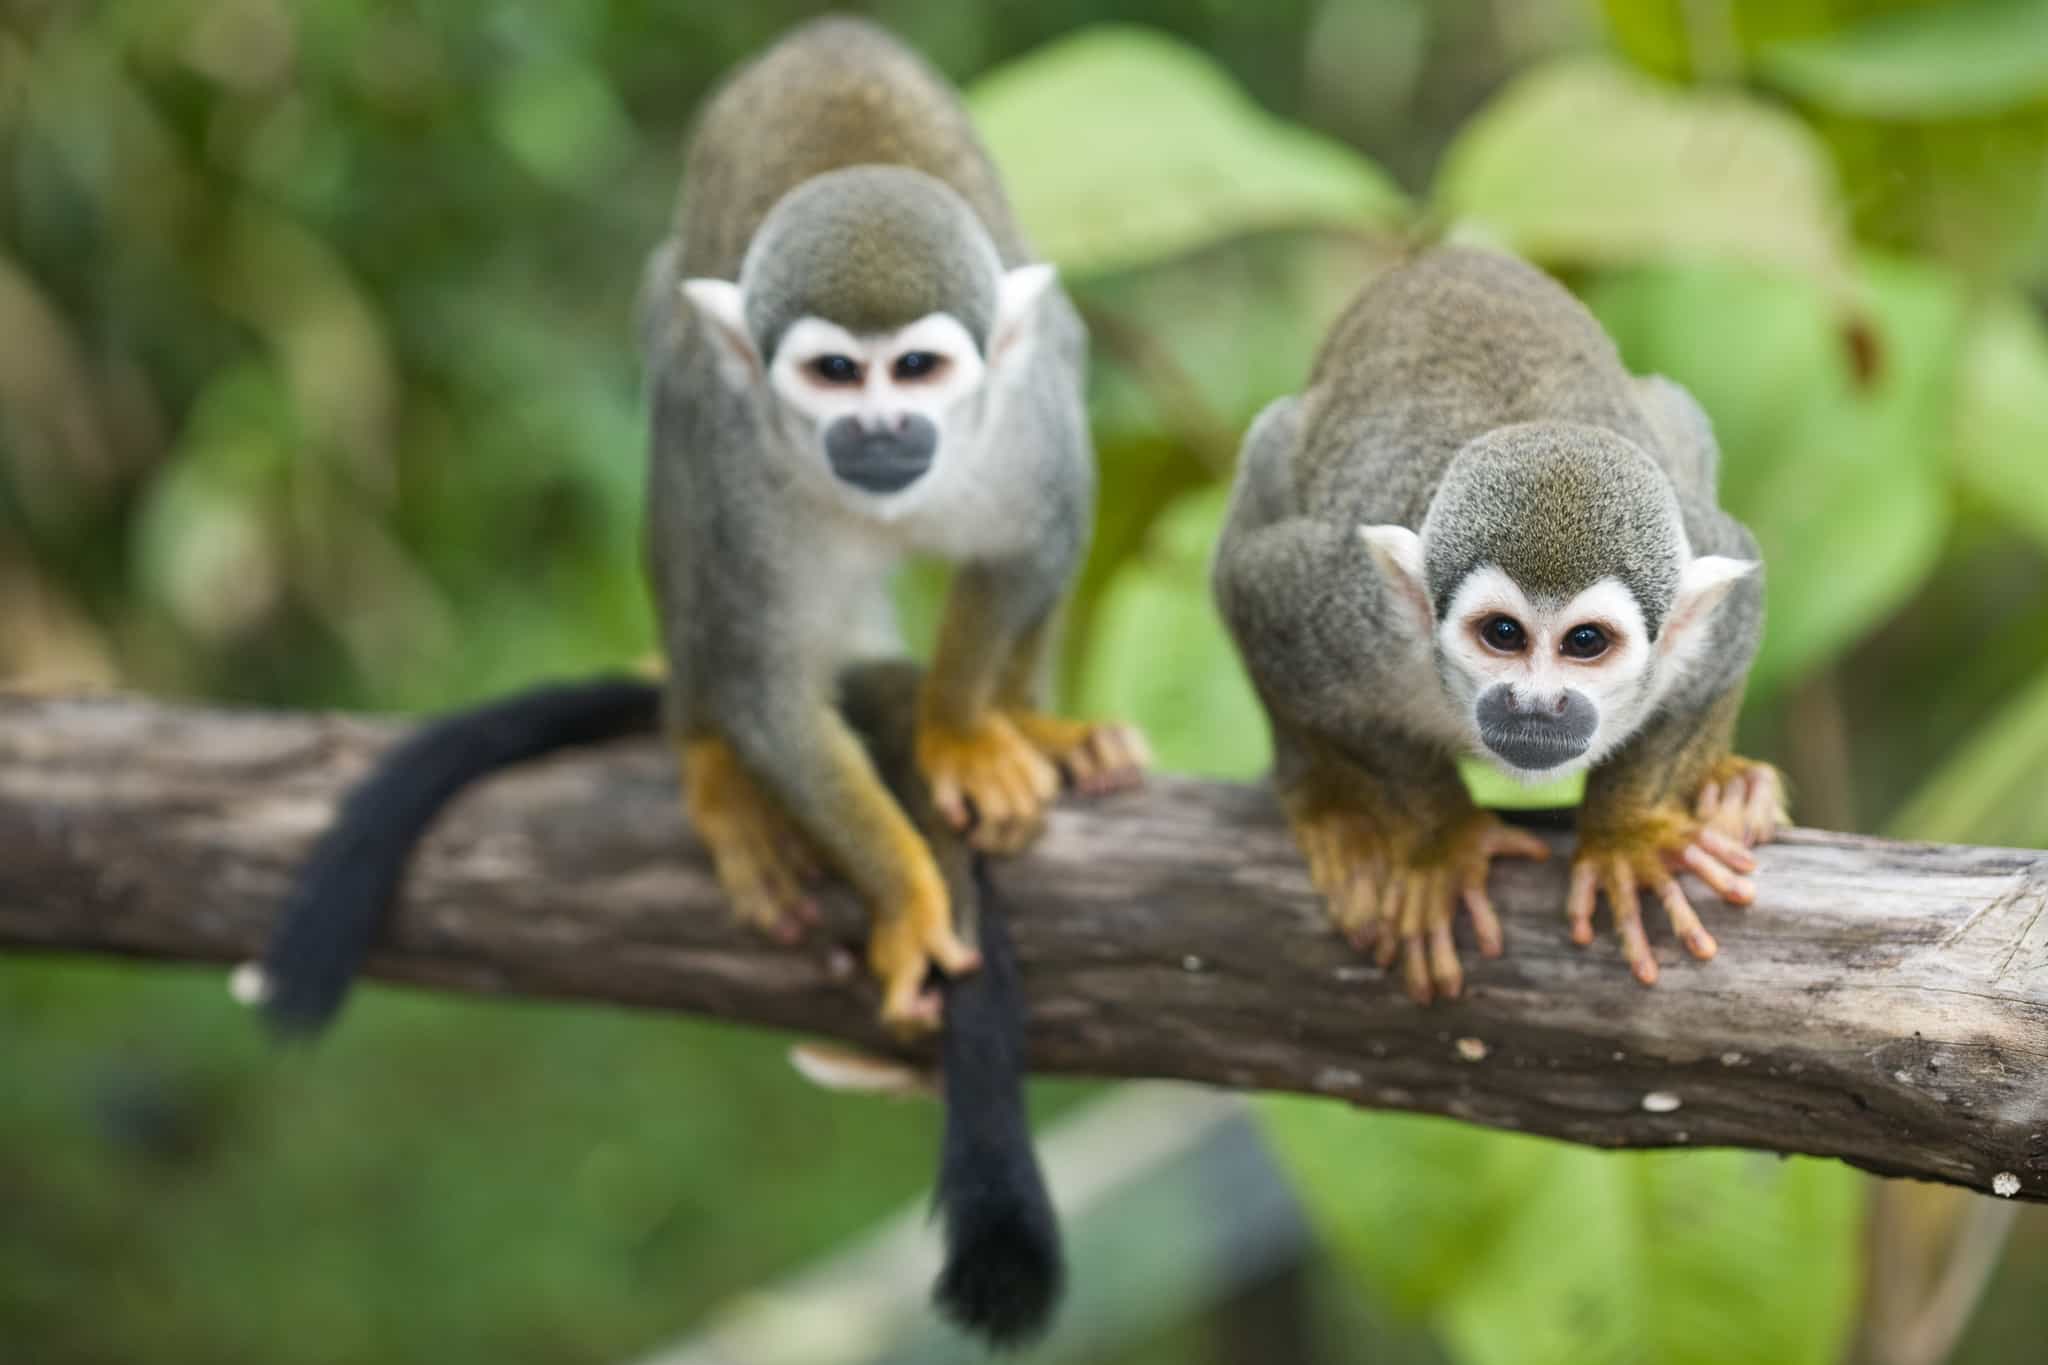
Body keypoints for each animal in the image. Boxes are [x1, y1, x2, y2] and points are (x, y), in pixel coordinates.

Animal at [641, 16, 1144, 1032]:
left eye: (915, 368)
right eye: (835, 372)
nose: (879, 430)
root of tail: (823, 30)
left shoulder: (1024, 419)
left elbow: (1036, 545)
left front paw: (958, 728)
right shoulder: (734, 464)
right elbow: (769, 688)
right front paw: (908, 895)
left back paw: (1030, 722)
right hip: (698, 392)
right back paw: (706, 753)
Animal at [1211, 246, 1785, 1001]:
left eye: (1585, 642)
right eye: (1504, 635)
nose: (1536, 704)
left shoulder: (1707, 603)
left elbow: (1729, 636)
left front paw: (1628, 833)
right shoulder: (1341, 610)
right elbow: (1254, 598)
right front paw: (1441, 837)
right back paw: (1328, 804)